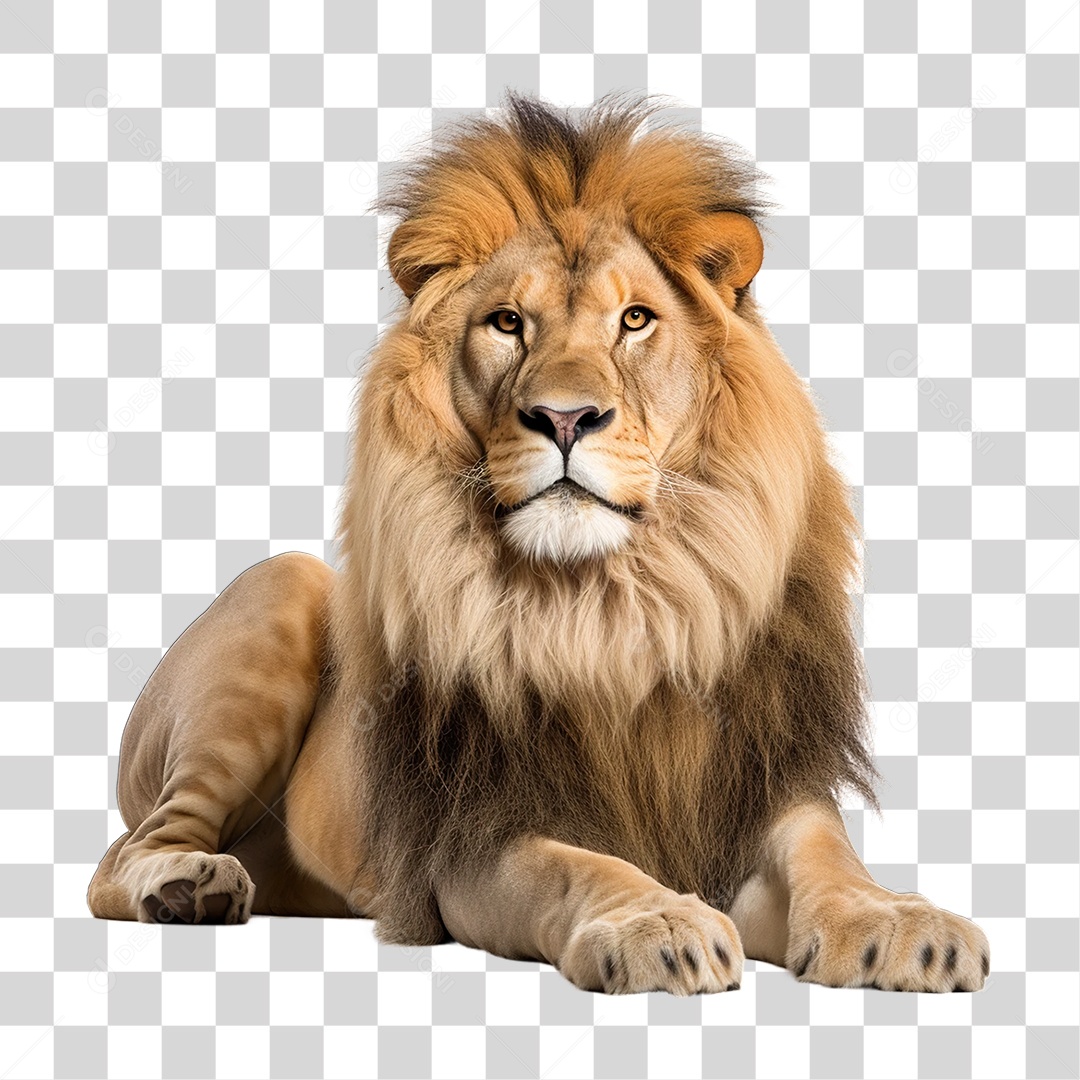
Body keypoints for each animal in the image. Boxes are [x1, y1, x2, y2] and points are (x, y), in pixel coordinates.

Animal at [88, 94, 989, 995]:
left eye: (635, 320)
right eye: (507, 324)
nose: (564, 417)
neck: (610, 609)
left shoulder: (757, 792)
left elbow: (826, 855)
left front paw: (900, 922)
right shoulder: (474, 839)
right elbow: (580, 867)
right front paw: (657, 922)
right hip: (278, 596)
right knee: (123, 853)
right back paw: (190, 884)